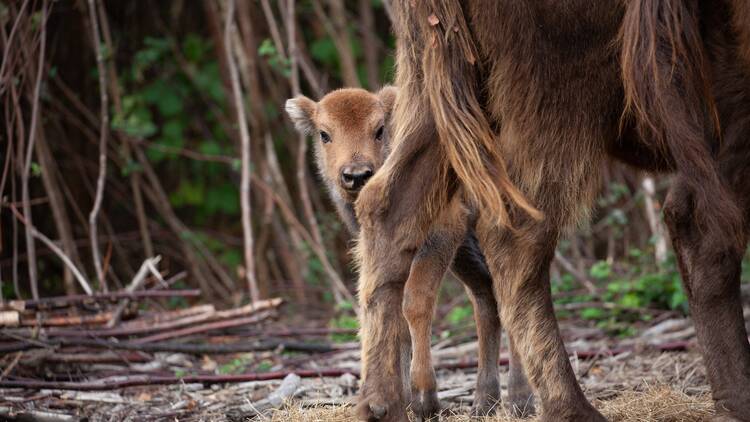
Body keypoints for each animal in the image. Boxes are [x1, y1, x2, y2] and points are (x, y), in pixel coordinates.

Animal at [356, 0, 750, 422]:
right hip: (560, 96)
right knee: (518, 236)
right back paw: (573, 409)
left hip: (437, 85)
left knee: (386, 207)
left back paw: (383, 405)